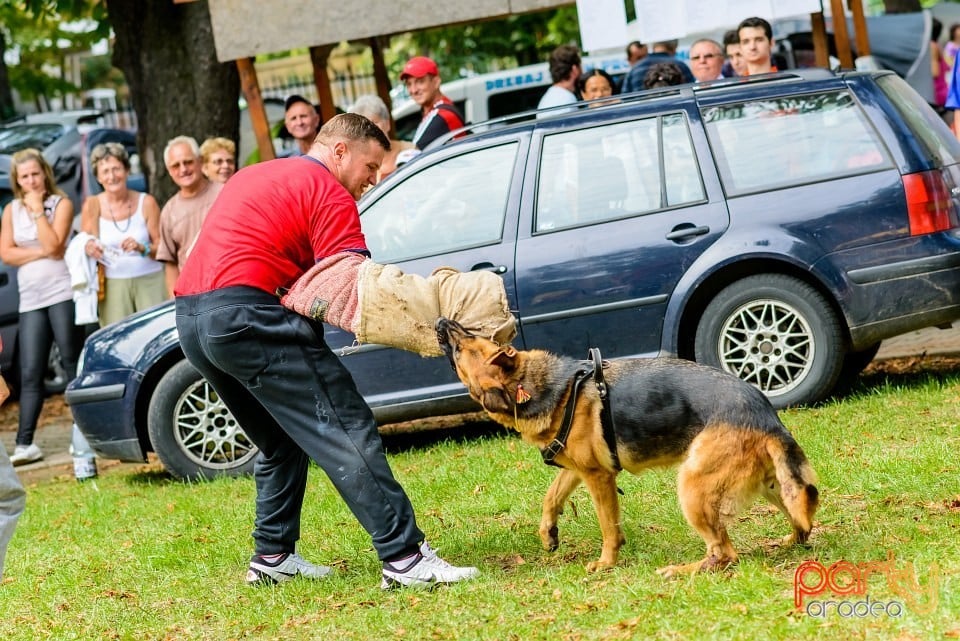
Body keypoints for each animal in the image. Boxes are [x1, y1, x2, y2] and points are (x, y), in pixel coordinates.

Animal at [436, 318, 816, 576]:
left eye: (464, 345)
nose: (442, 321)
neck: (546, 387)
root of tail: (764, 413)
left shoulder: (598, 477)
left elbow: (608, 526)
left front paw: (607, 562)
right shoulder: (579, 470)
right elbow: (551, 497)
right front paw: (548, 534)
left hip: (692, 488)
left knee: (725, 553)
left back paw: (682, 571)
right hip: (770, 486)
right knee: (802, 525)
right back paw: (787, 540)